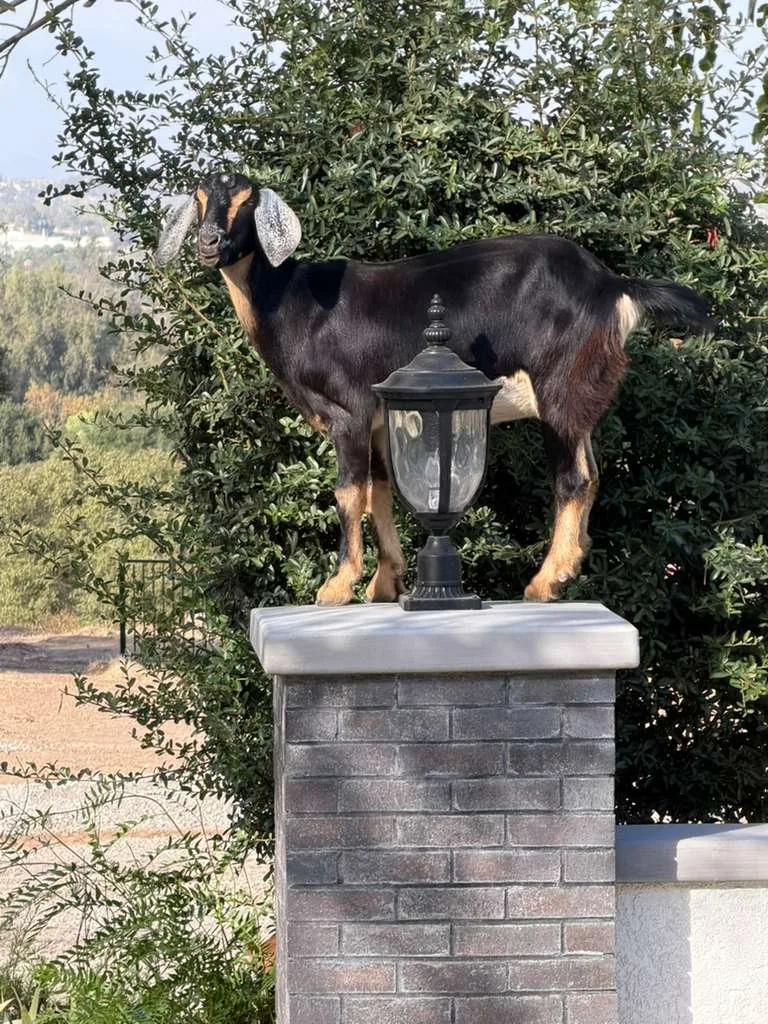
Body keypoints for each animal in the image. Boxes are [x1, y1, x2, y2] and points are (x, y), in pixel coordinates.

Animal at [155, 171, 711, 604]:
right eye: (200, 199)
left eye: (246, 202)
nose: (208, 244)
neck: (294, 303)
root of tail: (614, 286)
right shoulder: (380, 421)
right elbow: (379, 492)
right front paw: (384, 584)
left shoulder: (348, 413)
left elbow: (348, 492)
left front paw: (336, 587)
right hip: (578, 397)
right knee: (592, 474)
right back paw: (568, 566)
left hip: (559, 388)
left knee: (572, 479)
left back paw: (544, 583)